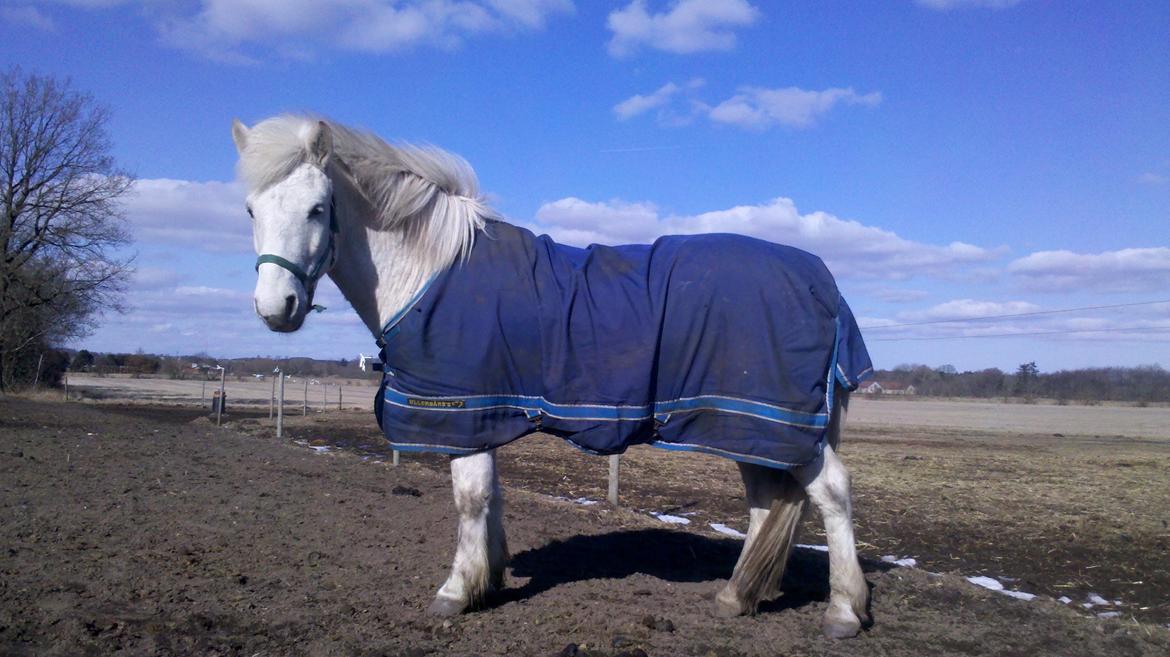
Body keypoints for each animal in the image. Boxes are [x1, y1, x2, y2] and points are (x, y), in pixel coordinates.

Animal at [230, 115, 870, 635]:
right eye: (252, 211)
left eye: (317, 208)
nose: (276, 306)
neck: (431, 272)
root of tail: (822, 282)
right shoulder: (484, 415)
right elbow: (491, 498)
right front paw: (489, 576)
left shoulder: (463, 411)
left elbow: (470, 498)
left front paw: (456, 591)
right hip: (749, 426)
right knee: (767, 501)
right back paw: (738, 596)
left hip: (778, 425)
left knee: (832, 494)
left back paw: (843, 610)